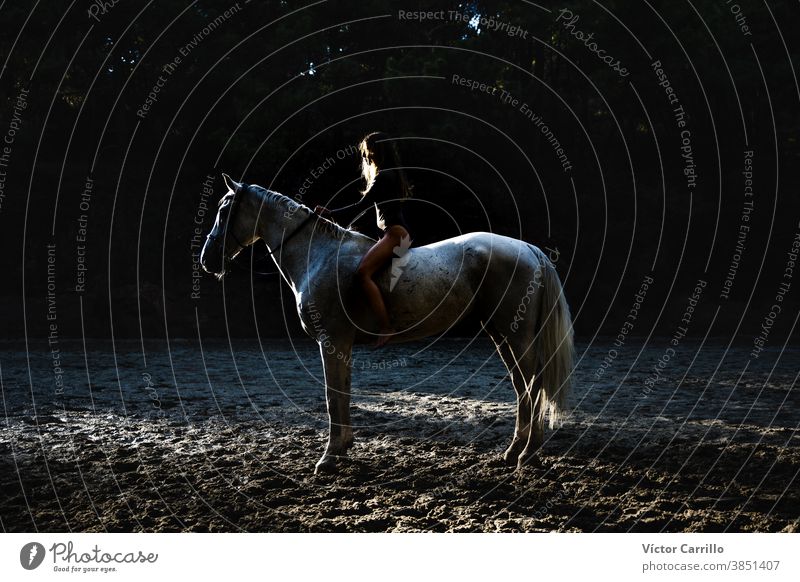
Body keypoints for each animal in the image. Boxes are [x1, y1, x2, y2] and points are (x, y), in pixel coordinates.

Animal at [200, 175, 576, 474]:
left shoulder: (331, 341)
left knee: (533, 385)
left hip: (518, 335)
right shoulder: (341, 346)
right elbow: (343, 393)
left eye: (224, 210)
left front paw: (329, 457)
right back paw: (513, 452)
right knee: (522, 386)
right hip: (502, 334)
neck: (318, 254)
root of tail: (529, 250)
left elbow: (332, 395)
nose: (207, 260)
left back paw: (528, 454)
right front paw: (343, 448)